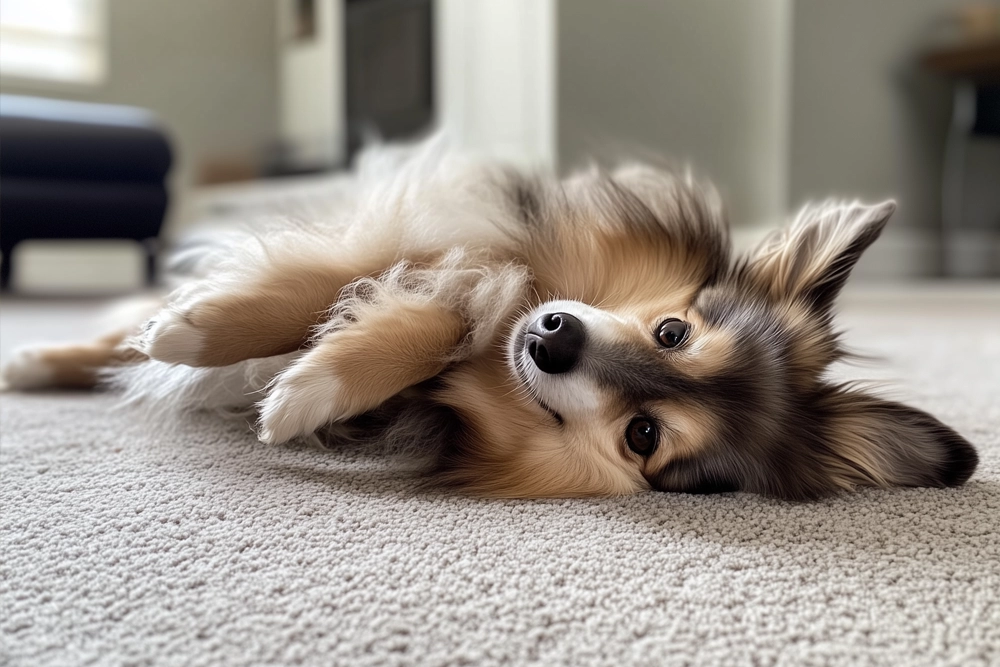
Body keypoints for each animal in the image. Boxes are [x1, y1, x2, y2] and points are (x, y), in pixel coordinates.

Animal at [3, 144, 980, 498]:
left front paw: (308, 390)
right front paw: (194, 333)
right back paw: (50, 356)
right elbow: (349, 287)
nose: (555, 336)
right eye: (672, 331)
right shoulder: (451, 240)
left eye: (643, 436)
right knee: (110, 342)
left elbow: (419, 327)